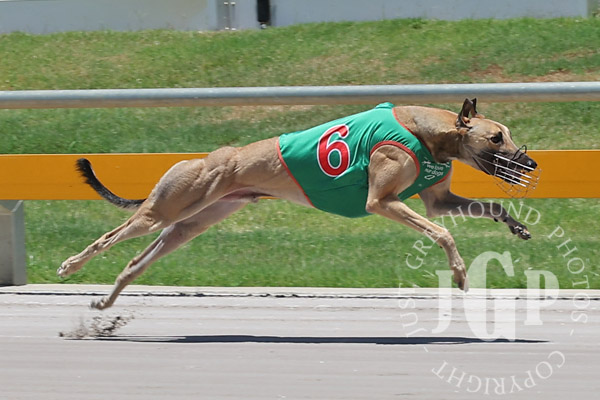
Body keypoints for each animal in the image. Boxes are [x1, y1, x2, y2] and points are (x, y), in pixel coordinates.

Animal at [58, 99, 539, 310]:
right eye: (496, 137)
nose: (531, 163)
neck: (426, 130)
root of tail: (208, 157)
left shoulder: (438, 199)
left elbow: (482, 210)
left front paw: (517, 227)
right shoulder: (381, 202)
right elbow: (442, 232)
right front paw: (459, 275)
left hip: (190, 223)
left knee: (135, 261)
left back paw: (105, 305)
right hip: (167, 209)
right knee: (110, 235)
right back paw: (70, 266)